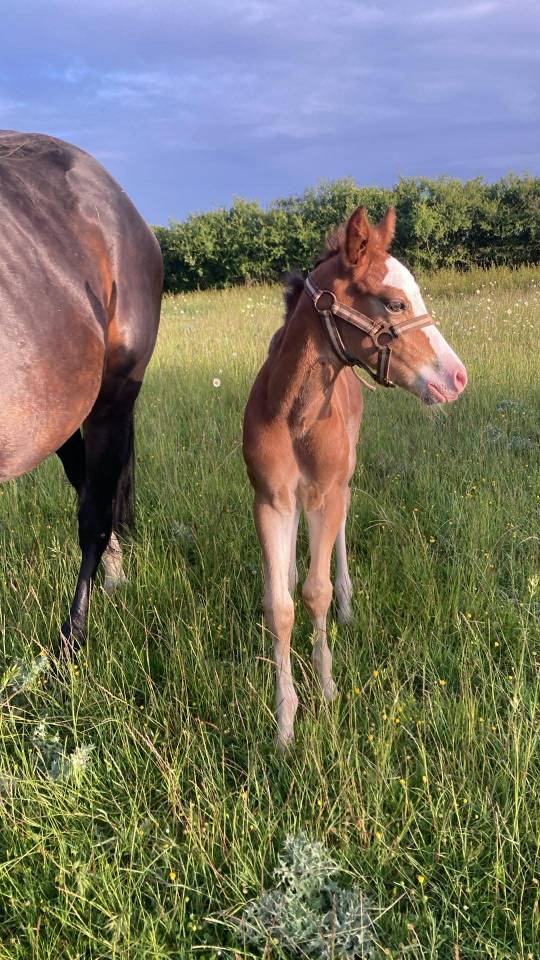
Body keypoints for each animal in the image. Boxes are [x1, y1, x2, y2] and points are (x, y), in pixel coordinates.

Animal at [243, 205, 468, 747]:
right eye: (394, 302)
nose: (458, 377)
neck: (293, 414)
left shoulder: (326, 494)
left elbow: (316, 592)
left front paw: (325, 690)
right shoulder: (270, 500)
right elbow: (281, 605)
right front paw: (284, 723)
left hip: (342, 480)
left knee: (340, 536)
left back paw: (346, 604)